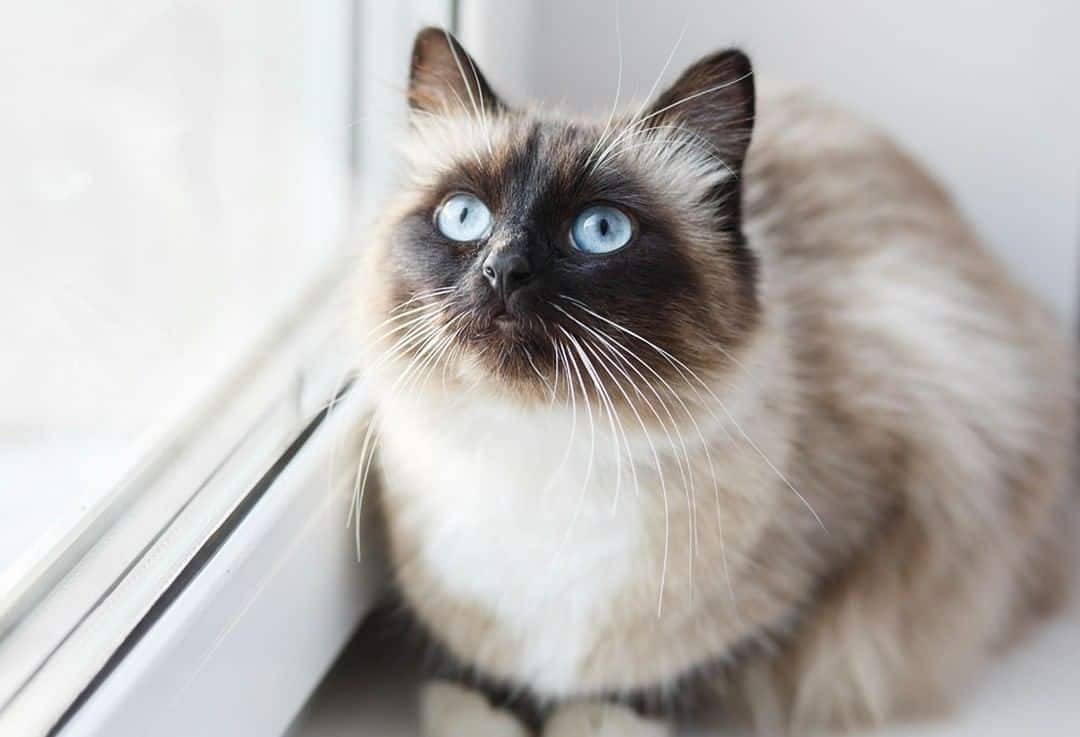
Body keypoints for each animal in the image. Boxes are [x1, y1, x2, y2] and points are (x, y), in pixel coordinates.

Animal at [352, 27, 1071, 734]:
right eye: (464, 216)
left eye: (600, 231)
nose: (504, 269)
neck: (541, 454)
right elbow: (472, 679)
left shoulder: (892, 517)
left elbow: (675, 673)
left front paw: (599, 711)